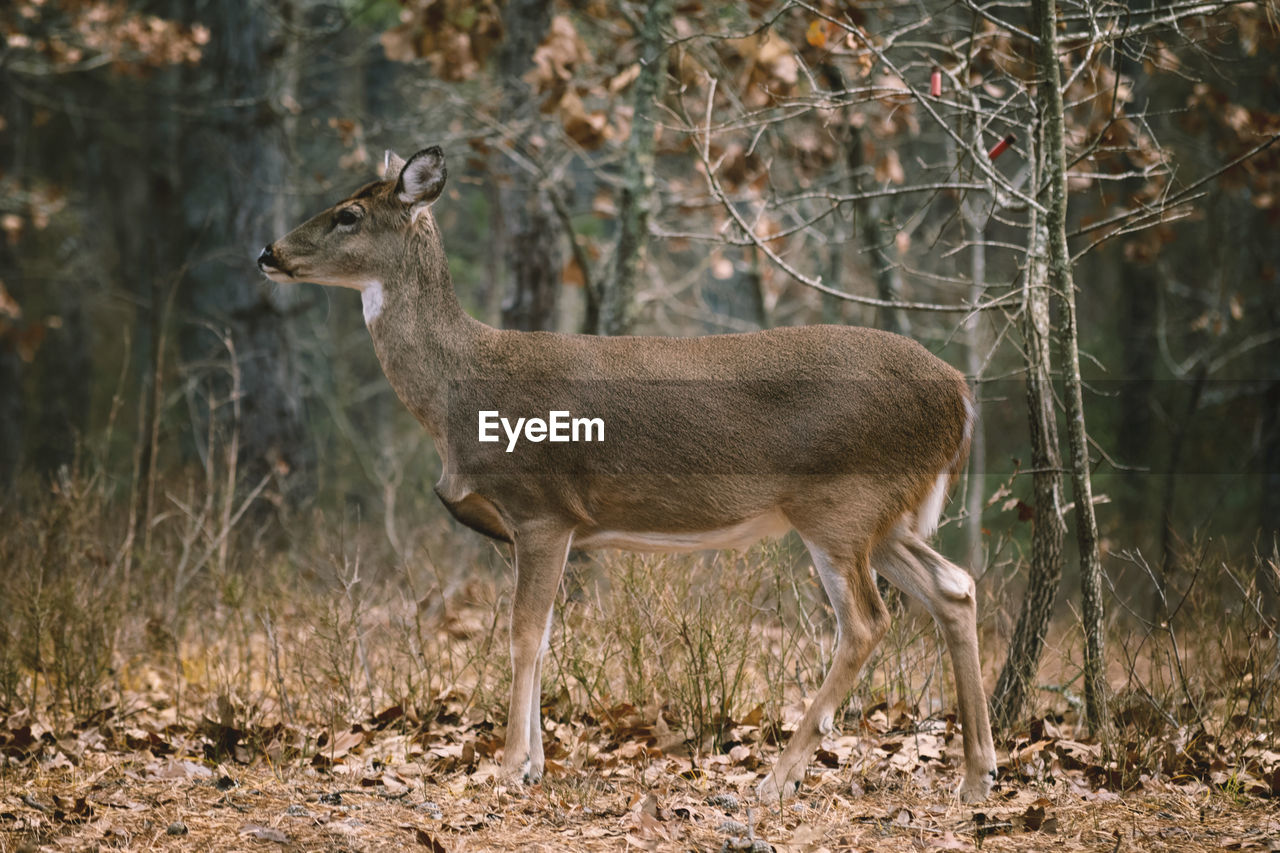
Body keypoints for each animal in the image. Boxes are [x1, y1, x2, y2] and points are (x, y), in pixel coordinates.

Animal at [257, 142, 998, 799]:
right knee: (955, 587)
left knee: (868, 622)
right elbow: (545, 633)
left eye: (349, 213)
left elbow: (523, 635)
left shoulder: (541, 509)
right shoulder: (540, 528)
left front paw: (506, 769)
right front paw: (533, 766)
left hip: (840, 502)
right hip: (885, 513)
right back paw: (975, 776)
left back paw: (775, 780)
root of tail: (961, 393)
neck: (457, 394)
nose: (267, 253)